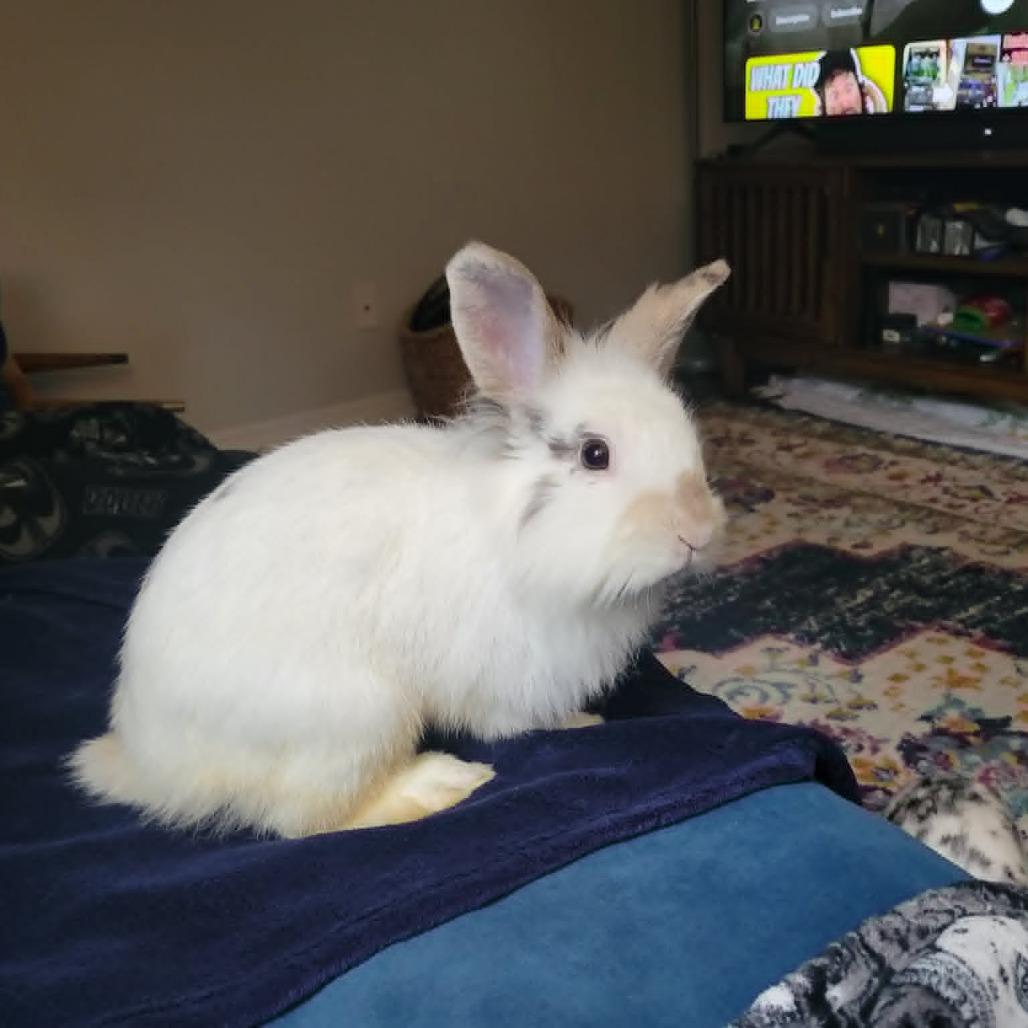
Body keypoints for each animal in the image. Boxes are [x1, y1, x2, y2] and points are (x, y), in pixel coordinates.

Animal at [69, 242, 730, 837]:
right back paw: (438, 784)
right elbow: (512, 724)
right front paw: (582, 725)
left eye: (689, 438)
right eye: (595, 454)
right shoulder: (503, 681)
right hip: (358, 720)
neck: (519, 541)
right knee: (306, 822)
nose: (697, 532)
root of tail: (147, 766)